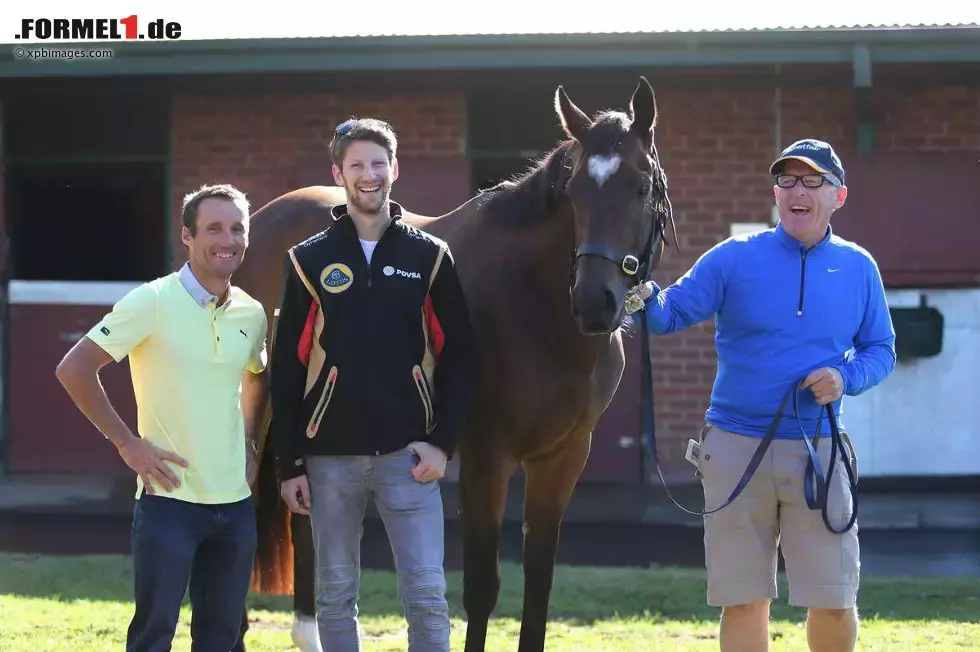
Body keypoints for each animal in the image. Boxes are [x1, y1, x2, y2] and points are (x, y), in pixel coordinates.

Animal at [234, 77, 672, 652]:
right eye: (574, 191)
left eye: (641, 186)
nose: (594, 302)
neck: (533, 304)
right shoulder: (486, 455)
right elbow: (483, 586)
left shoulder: (562, 456)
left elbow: (540, 581)